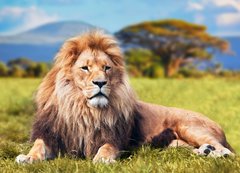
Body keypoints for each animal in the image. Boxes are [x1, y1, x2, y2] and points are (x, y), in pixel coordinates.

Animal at [16, 30, 234, 164]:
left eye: (106, 68)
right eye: (85, 68)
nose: (100, 82)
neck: (83, 110)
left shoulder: (114, 138)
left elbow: (106, 148)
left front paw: (102, 159)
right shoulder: (50, 134)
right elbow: (38, 146)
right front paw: (27, 158)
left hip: (190, 127)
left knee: (228, 151)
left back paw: (214, 153)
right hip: (174, 143)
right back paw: (204, 151)